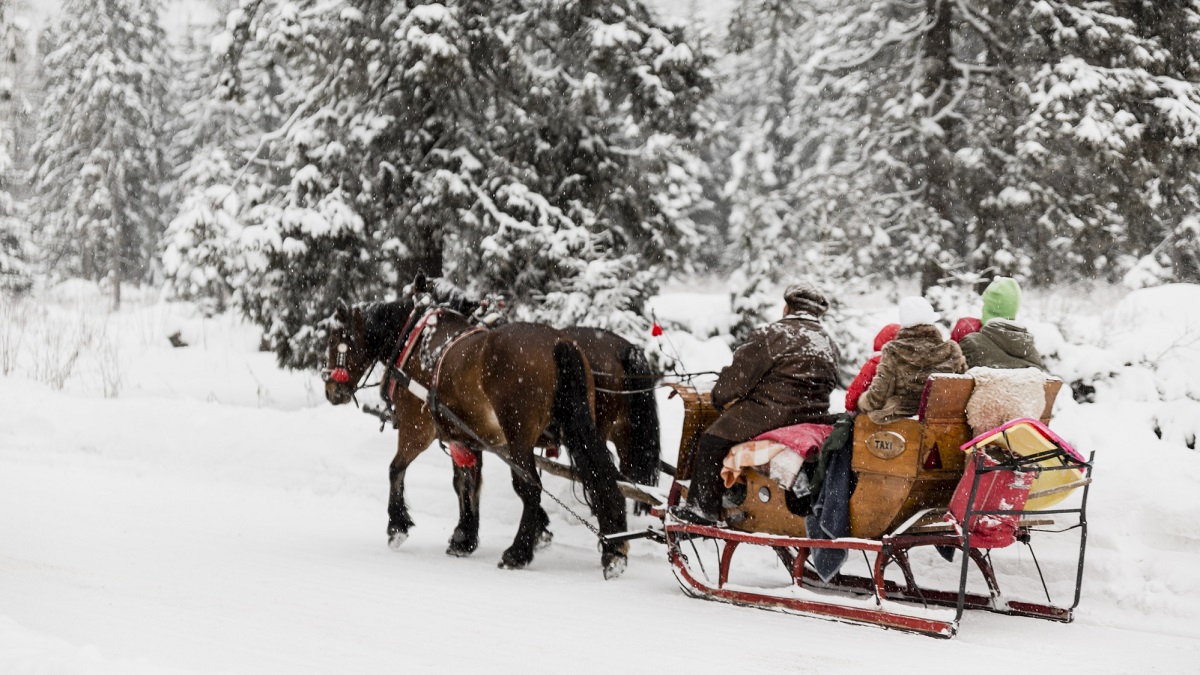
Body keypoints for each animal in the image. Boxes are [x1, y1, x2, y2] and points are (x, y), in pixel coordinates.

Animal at [324, 276, 633, 576]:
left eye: (335, 339)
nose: (331, 390)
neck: (415, 340)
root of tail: (558, 341)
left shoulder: (417, 428)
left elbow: (395, 469)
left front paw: (397, 526)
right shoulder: (464, 438)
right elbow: (465, 483)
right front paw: (464, 537)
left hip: (519, 437)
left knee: (531, 487)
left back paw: (517, 553)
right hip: (577, 427)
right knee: (599, 476)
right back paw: (613, 549)